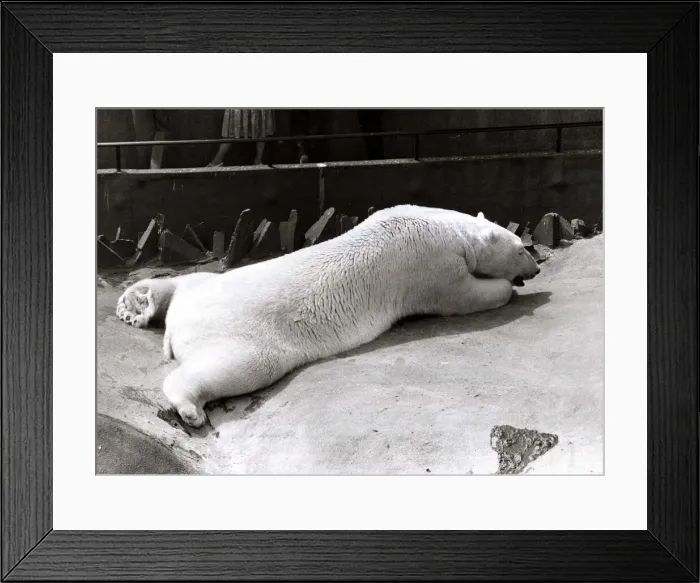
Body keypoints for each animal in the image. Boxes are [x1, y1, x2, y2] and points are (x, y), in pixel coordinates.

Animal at [115, 204, 540, 427]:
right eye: (522, 248)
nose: (536, 269)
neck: (444, 227)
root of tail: (178, 327)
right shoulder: (430, 266)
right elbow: (461, 295)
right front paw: (507, 288)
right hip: (241, 334)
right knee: (238, 366)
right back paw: (189, 409)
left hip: (205, 286)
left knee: (187, 282)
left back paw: (138, 304)